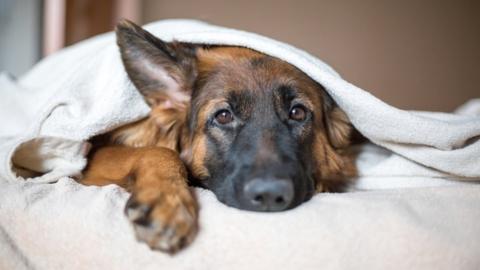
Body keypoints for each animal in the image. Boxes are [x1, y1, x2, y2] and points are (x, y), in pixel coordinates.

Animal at [80, 20, 354, 253]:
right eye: (223, 116)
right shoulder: (92, 157)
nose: (269, 195)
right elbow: (160, 151)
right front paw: (167, 201)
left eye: (297, 113)